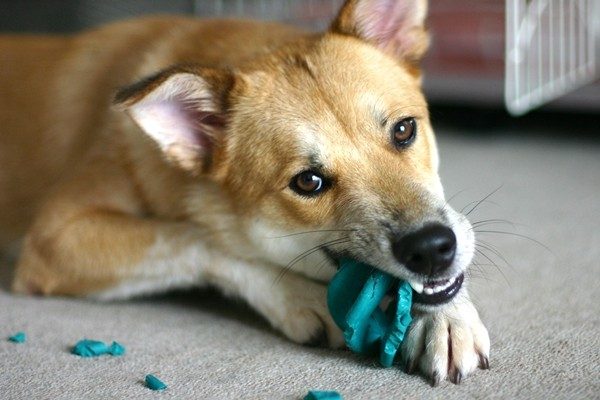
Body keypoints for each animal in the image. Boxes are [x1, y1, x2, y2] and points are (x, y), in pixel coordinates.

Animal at [0, 0, 488, 388]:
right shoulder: (56, 237)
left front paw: (448, 316)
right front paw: (298, 297)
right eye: (308, 182)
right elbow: (198, 238)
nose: (432, 249)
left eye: (404, 130)